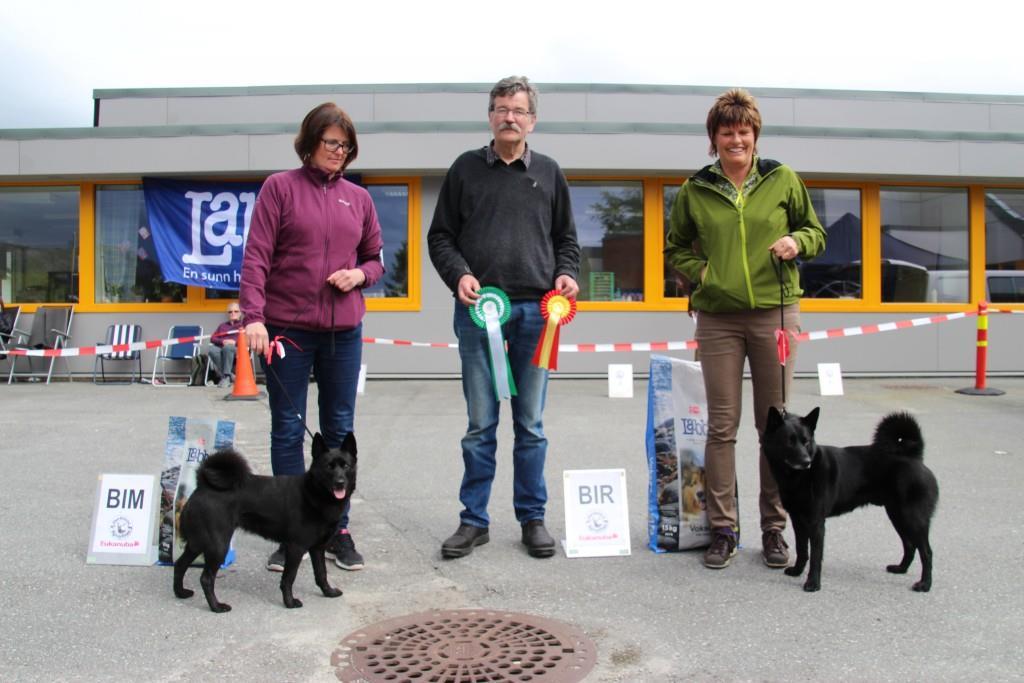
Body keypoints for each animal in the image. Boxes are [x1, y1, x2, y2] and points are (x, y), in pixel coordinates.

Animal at [173, 432, 356, 614]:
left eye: (346, 466)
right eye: (328, 467)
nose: (340, 482)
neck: (314, 493)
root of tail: (203, 485)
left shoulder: (317, 548)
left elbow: (321, 573)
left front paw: (329, 592)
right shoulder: (296, 547)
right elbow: (289, 578)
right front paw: (289, 602)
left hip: (198, 543)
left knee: (180, 564)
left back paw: (180, 592)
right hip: (218, 546)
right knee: (206, 578)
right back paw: (216, 607)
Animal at [765, 405, 937, 593]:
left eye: (806, 441)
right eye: (789, 441)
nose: (806, 461)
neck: (800, 477)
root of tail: (913, 456)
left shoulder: (816, 523)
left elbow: (816, 556)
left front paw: (813, 583)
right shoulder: (798, 519)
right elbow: (802, 549)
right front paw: (797, 571)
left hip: (911, 518)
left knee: (927, 552)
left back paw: (925, 584)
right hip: (897, 515)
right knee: (910, 545)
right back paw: (900, 569)